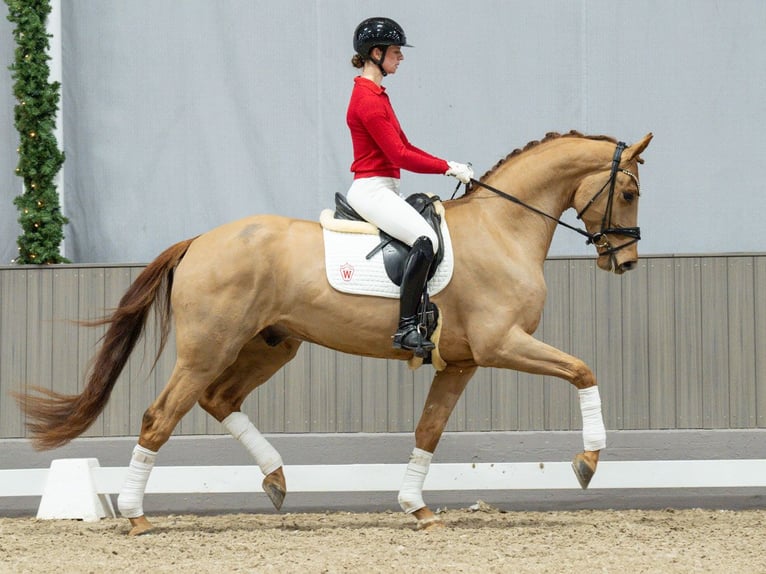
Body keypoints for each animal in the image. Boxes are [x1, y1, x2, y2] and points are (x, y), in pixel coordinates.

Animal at [16, 130, 656, 536]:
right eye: (628, 192)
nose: (625, 263)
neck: (503, 228)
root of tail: (199, 240)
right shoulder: (502, 345)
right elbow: (583, 369)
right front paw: (588, 462)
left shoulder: (463, 362)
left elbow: (429, 430)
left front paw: (415, 507)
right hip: (208, 348)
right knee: (160, 416)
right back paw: (135, 514)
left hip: (271, 345)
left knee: (219, 399)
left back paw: (275, 479)